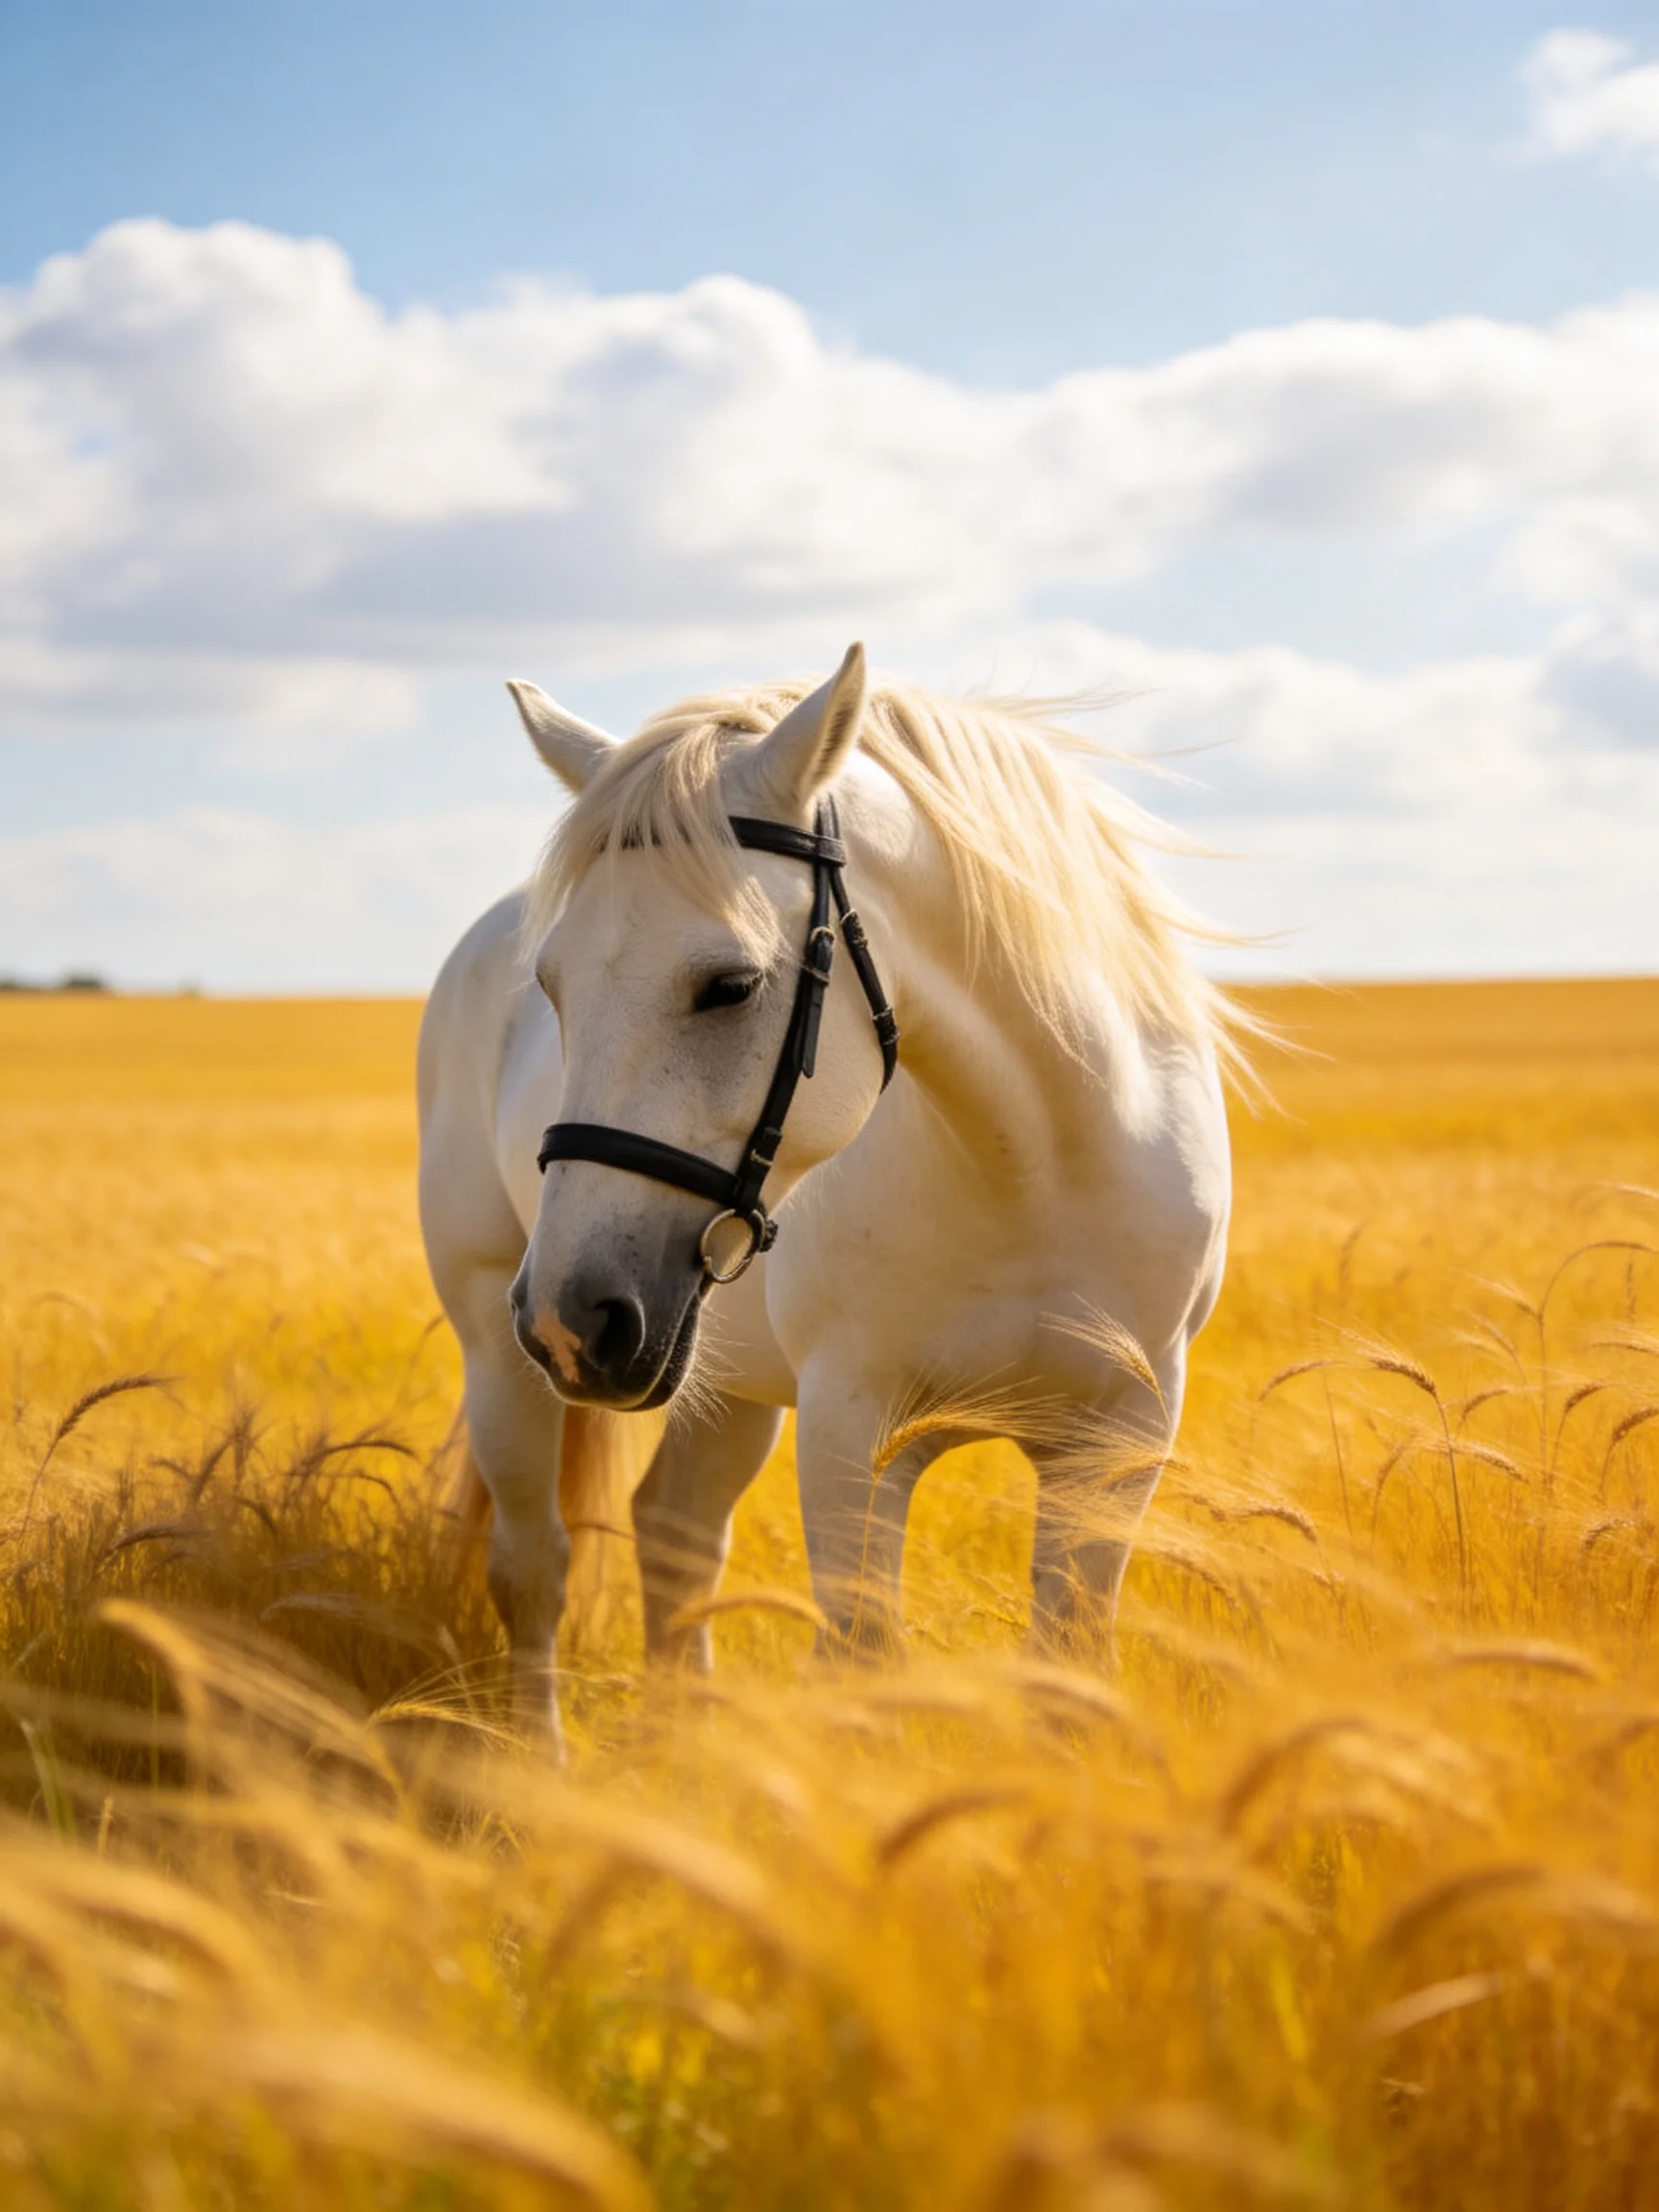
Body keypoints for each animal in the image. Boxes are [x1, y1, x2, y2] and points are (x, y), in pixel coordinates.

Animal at [417, 643, 1239, 1741]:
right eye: (548, 988)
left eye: (729, 985)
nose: (575, 1315)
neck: (1034, 1171)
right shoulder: (853, 1426)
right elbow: (863, 1654)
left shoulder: (1123, 1438)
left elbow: (1069, 1655)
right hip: (495, 1336)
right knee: (533, 1561)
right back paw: (538, 1761)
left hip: (710, 1372)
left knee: (675, 1534)